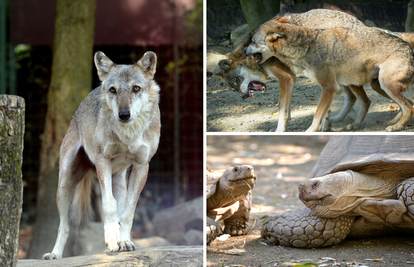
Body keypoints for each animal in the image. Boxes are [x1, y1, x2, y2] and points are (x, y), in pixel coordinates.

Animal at [42, 51, 161, 260]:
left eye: (136, 88)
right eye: (113, 90)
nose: (124, 114)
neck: (128, 133)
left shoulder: (142, 166)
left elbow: (128, 212)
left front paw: (124, 241)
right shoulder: (102, 160)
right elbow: (109, 205)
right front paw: (112, 238)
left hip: (119, 181)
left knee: (120, 208)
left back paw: (122, 240)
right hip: (65, 184)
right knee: (64, 226)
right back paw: (54, 254)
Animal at [215, 8, 414, 132]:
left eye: (254, 43)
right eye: (234, 87)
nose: (242, 97)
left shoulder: (302, 81)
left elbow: (305, 114)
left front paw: (293, 130)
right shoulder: (308, 83)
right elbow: (290, 109)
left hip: (382, 85)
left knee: (406, 105)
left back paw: (395, 126)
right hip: (371, 85)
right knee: (383, 102)